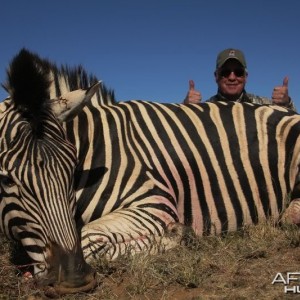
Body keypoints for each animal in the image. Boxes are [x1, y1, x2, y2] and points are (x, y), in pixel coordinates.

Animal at [0, 48, 300, 294]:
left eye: (72, 168)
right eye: (6, 180)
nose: (74, 281)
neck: (96, 148)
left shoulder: (154, 202)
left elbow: (87, 238)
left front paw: (176, 237)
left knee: (290, 216)